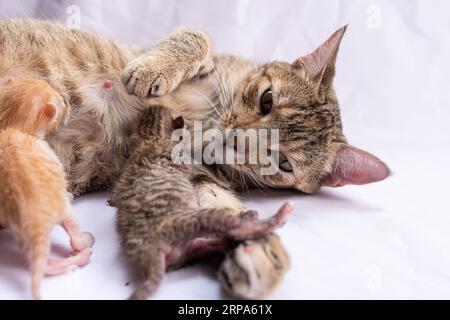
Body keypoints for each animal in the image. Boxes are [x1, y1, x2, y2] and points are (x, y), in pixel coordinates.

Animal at [0, 78, 95, 300]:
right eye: (60, 101)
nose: (66, 101)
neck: (10, 124)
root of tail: (37, 222)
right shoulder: (49, 152)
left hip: (21, 235)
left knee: (43, 264)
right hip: (64, 211)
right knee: (74, 235)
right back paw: (84, 244)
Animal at [110, 105, 292, 300]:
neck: (147, 136)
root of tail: (150, 254)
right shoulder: (181, 160)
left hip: (190, 247)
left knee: (208, 245)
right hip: (194, 219)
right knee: (234, 226)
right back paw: (270, 218)